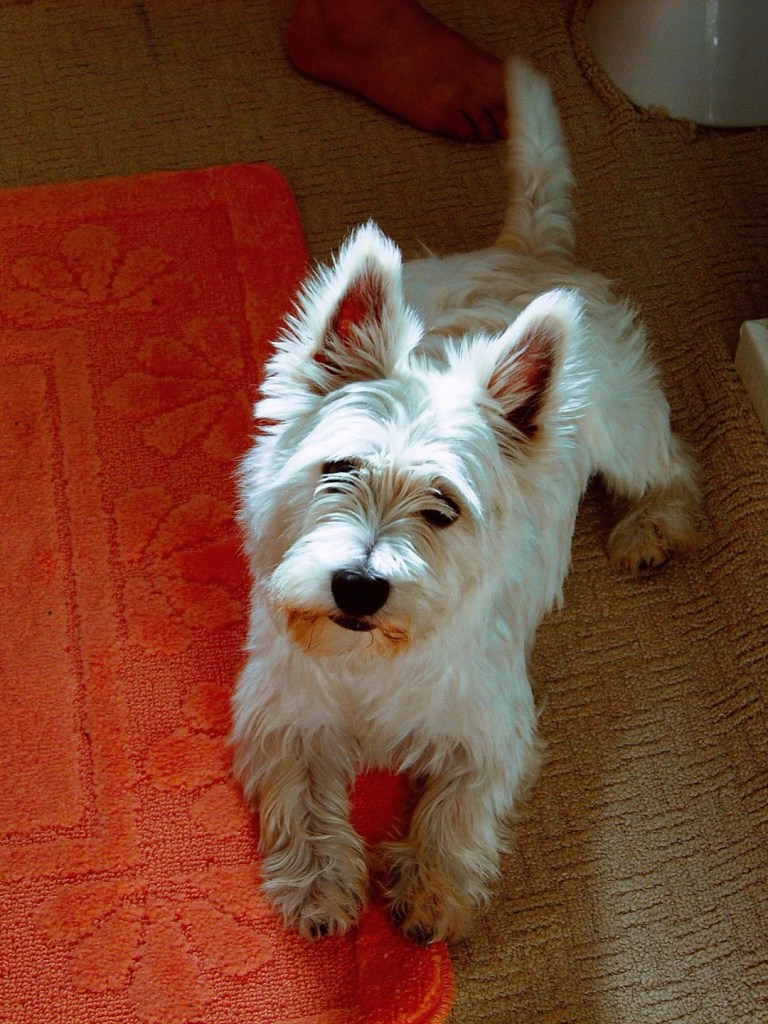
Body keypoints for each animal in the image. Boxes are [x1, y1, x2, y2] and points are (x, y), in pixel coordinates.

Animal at [231, 58, 700, 945]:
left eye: (443, 508)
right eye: (337, 467)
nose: (358, 586)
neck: (371, 659)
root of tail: (531, 253)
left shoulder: (493, 728)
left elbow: (457, 809)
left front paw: (430, 893)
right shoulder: (283, 709)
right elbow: (303, 799)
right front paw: (320, 887)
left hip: (623, 424)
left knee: (671, 464)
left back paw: (654, 529)